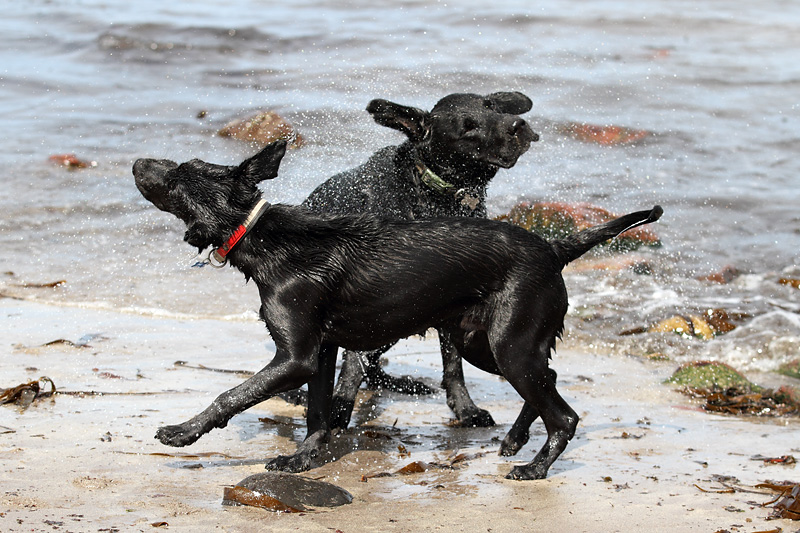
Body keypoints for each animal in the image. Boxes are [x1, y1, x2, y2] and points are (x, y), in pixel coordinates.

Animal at [133, 140, 664, 478]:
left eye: (177, 175)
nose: (138, 162)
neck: (266, 237)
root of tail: (553, 248)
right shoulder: (322, 352)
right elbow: (318, 414)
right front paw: (304, 459)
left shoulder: (296, 357)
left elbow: (232, 395)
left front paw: (182, 432)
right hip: (485, 343)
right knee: (547, 381)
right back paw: (515, 441)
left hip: (510, 342)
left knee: (565, 415)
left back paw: (534, 467)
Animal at [304, 92, 540, 428]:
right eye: (467, 128)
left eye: (491, 107)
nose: (518, 126)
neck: (432, 197)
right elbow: (350, 368)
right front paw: (338, 413)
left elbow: (453, 365)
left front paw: (465, 409)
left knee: (373, 366)